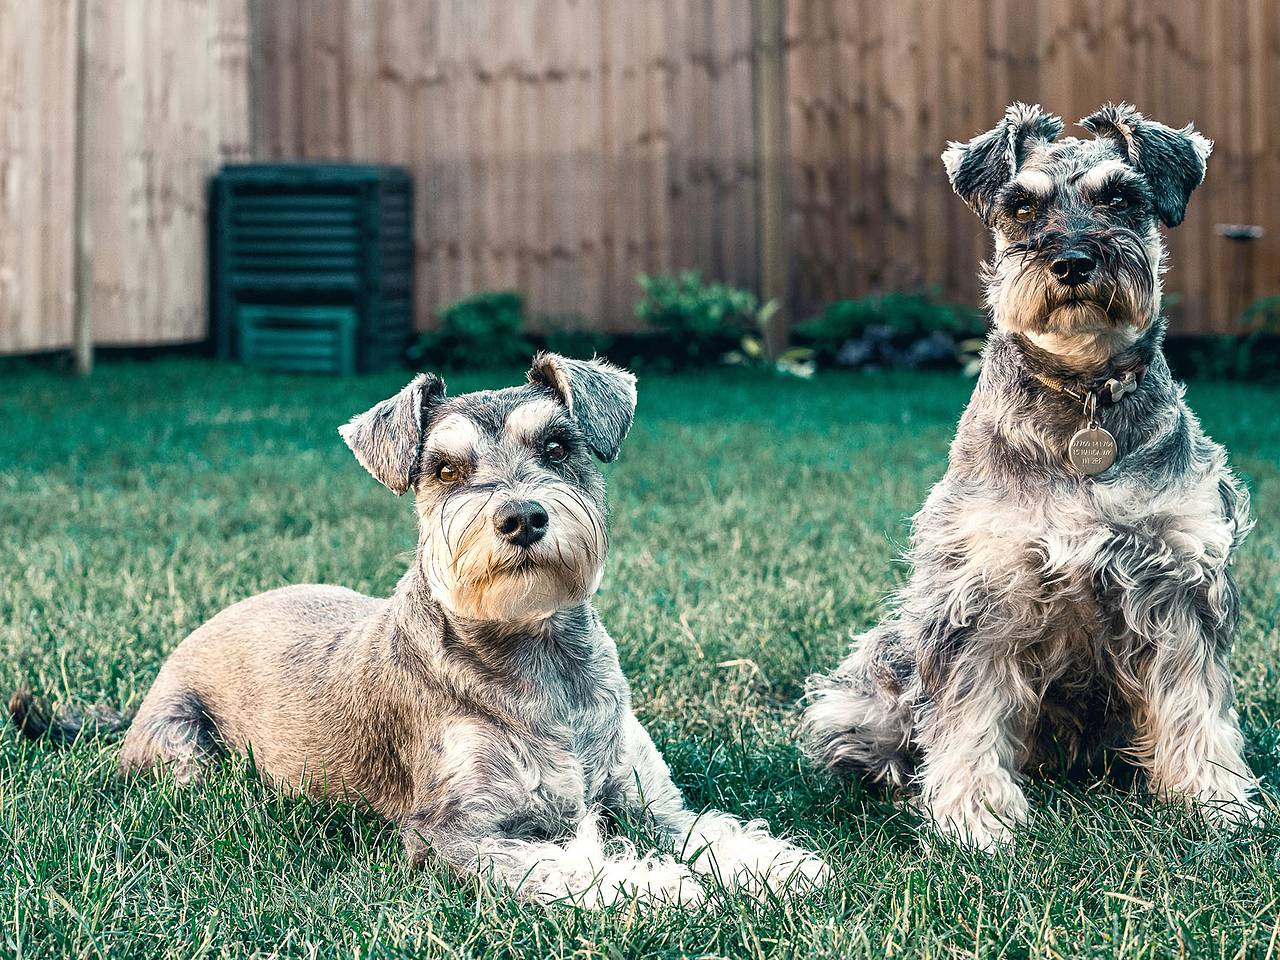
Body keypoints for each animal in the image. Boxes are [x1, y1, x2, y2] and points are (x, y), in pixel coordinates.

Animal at [12, 355, 829, 911]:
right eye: (442, 468)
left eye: (558, 447)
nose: (521, 517)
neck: (540, 656)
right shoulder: (454, 831)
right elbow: (568, 864)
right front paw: (663, 889)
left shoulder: (649, 801)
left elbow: (709, 830)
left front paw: (779, 866)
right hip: (187, 757)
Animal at [798, 103, 1259, 849]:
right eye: (1020, 206)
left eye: (1121, 199)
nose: (1072, 261)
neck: (1083, 396)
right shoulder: (983, 591)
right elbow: (967, 713)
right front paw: (974, 817)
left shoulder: (1179, 581)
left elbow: (1196, 703)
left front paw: (1215, 801)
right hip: (875, 676)